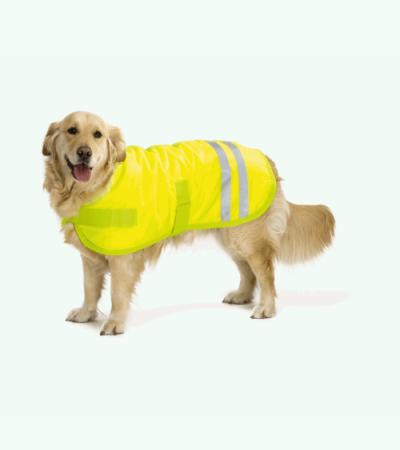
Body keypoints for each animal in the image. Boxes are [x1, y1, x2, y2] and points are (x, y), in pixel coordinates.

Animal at [43, 111, 335, 335]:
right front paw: (86, 313)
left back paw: (266, 307)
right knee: (248, 271)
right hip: (231, 234)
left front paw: (115, 323)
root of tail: (265, 158)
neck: (94, 187)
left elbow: (117, 293)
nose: (84, 153)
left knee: (265, 272)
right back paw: (242, 295)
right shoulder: (90, 258)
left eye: (98, 135)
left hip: (247, 237)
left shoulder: (123, 257)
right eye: (71, 130)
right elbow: (90, 288)